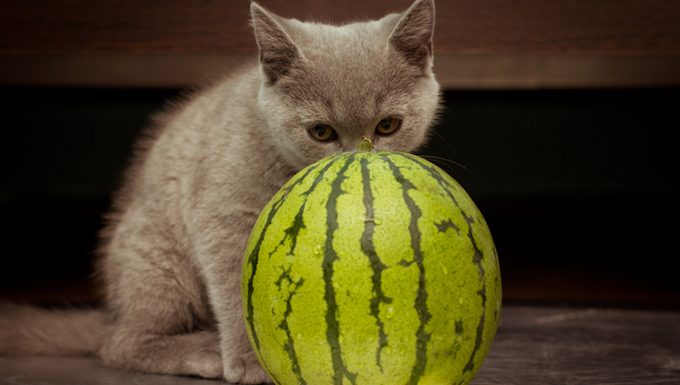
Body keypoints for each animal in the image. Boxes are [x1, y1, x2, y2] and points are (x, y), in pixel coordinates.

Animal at [0, 0, 440, 380]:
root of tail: (112, 310)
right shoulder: (225, 216)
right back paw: (204, 349)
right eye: (321, 132)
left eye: (387, 126)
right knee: (120, 344)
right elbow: (235, 287)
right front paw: (254, 362)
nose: (356, 159)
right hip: (158, 261)